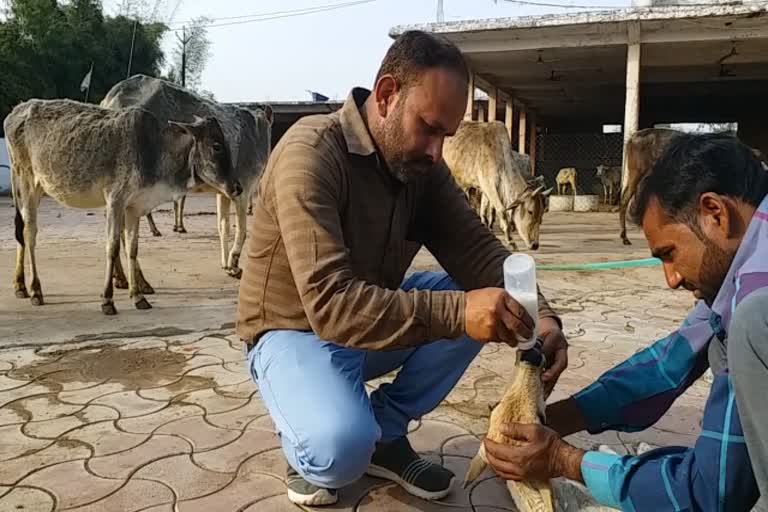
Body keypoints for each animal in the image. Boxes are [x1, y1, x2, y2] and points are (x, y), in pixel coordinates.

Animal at [100, 74, 272, 278]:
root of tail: (109, 100)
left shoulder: (225, 191)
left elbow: (223, 226)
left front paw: (226, 264)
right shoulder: (243, 190)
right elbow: (243, 230)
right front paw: (234, 263)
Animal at [444, 120, 552, 252]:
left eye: (542, 213)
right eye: (530, 211)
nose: (535, 245)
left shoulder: (484, 189)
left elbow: (484, 210)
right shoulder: (488, 185)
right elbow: (501, 210)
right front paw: (511, 242)